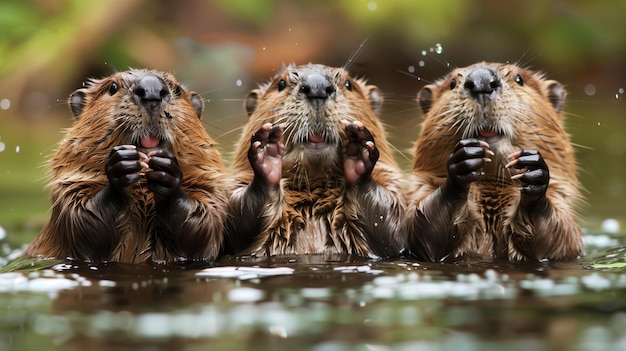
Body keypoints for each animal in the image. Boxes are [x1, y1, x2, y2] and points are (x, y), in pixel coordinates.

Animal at [23, 69, 227, 264]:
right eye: (112, 87)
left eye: (177, 89)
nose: (152, 90)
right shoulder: (70, 184)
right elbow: (84, 215)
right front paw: (123, 164)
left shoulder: (210, 186)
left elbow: (203, 221)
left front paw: (166, 171)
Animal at [224, 63, 404, 258]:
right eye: (281, 83)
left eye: (348, 84)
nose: (317, 87)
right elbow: (234, 219)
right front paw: (266, 150)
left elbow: (391, 227)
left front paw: (359, 147)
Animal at [402, 62, 584, 262]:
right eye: (452, 83)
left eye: (519, 79)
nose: (481, 81)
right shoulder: (423, 188)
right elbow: (423, 233)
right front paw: (465, 157)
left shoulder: (561, 200)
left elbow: (560, 239)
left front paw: (532, 168)